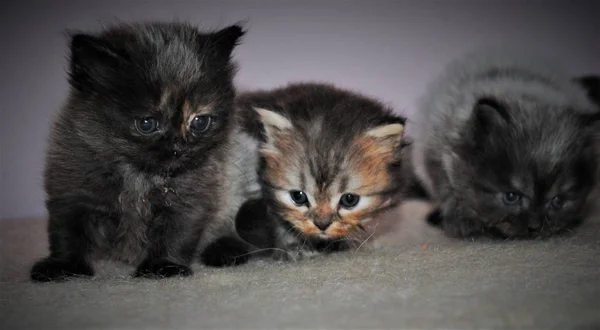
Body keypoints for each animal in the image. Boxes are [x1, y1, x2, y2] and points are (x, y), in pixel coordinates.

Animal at [29, 20, 250, 282]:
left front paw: (164, 267)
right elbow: (67, 235)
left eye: (199, 122)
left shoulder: (190, 200)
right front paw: (64, 268)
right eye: (147, 124)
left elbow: (176, 234)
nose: (179, 145)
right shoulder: (72, 193)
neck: (139, 176)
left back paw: (226, 250)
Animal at [412, 49, 600, 240]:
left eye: (558, 201)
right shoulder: (437, 148)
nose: (534, 226)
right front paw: (460, 220)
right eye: (511, 196)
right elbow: (445, 189)